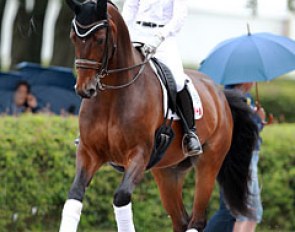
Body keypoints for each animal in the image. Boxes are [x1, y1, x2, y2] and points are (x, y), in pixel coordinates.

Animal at [60, 0, 260, 231]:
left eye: (100, 39)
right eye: (73, 38)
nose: (85, 89)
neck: (112, 97)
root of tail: (219, 93)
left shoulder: (139, 154)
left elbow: (121, 198)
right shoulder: (89, 152)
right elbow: (74, 196)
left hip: (208, 164)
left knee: (197, 220)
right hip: (168, 172)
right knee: (180, 220)